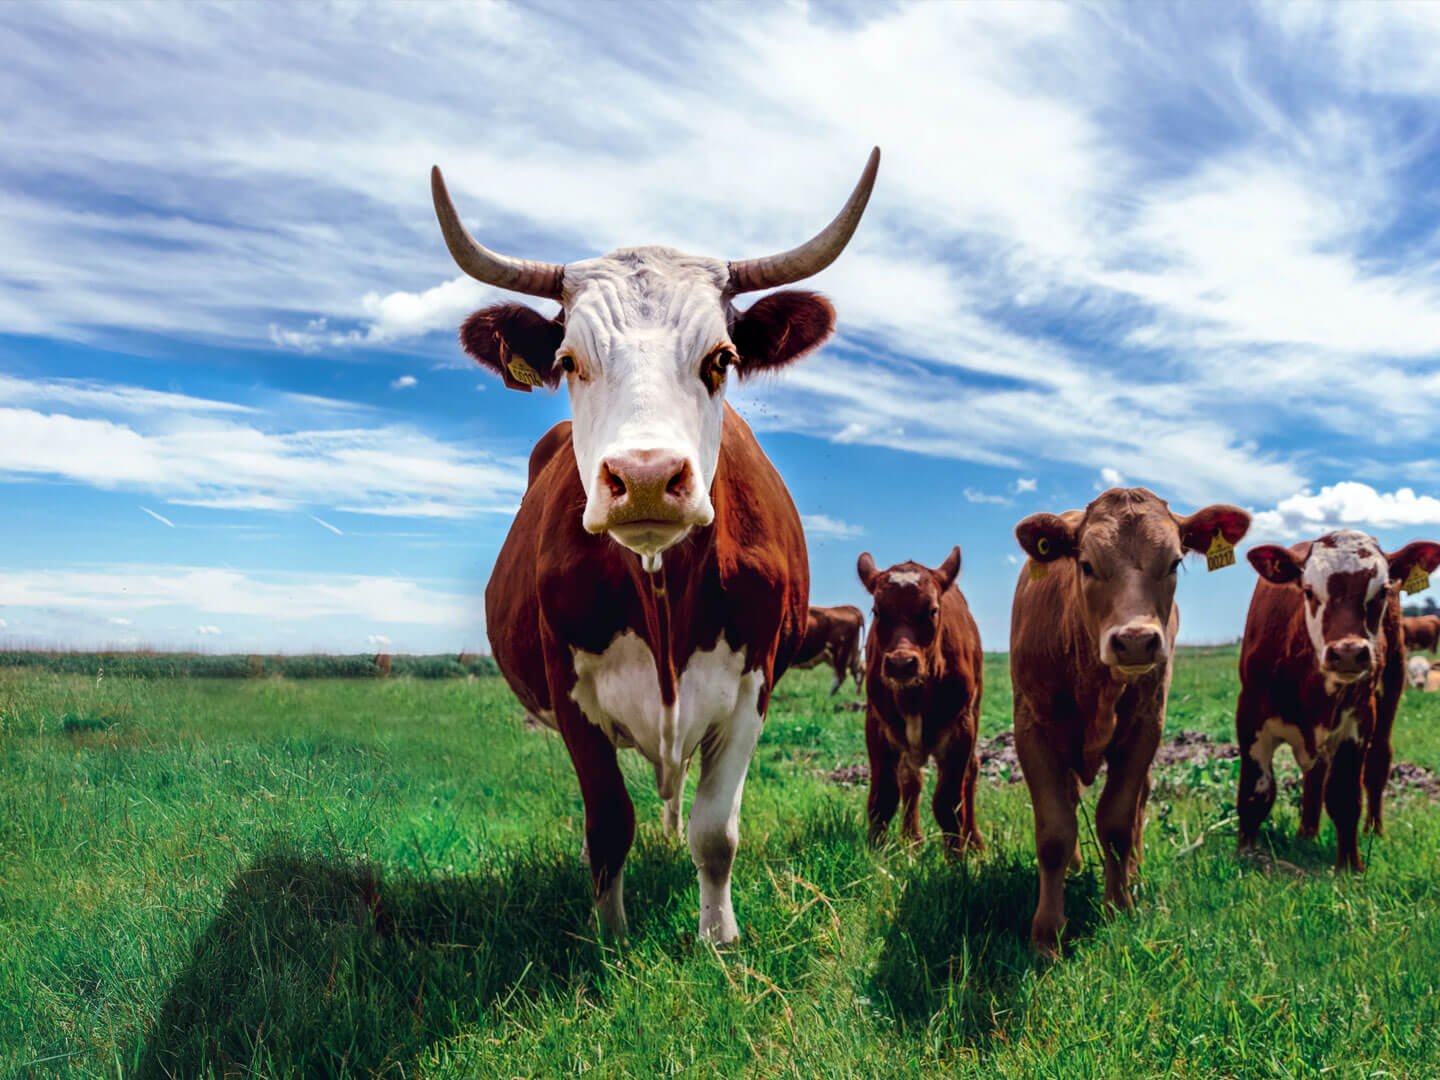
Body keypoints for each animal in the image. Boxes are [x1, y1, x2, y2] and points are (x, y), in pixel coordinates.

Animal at [433, 150, 880, 942]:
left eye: (722, 358)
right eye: (570, 361)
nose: (643, 478)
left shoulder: (753, 686)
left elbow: (716, 830)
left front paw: (718, 936)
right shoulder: (569, 691)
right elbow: (609, 823)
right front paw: (610, 936)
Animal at [856, 547, 984, 854]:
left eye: (932, 610)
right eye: (878, 611)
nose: (901, 664)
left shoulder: (961, 728)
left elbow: (949, 804)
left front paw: (956, 859)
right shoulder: (876, 725)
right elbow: (883, 798)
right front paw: (876, 854)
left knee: (971, 773)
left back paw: (975, 842)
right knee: (910, 780)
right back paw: (911, 839)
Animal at [1011, 487, 1251, 955]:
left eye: (1174, 562)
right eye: (1086, 564)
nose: (1137, 641)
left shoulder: (1145, 728)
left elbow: (1118, 821)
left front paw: (1118, 906)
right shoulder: (1031, 728)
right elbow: (1054, 831)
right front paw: (1047, 933)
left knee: (1139, 803)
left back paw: (1134, 873)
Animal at [1237, 531, 1440, 869]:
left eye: (1382, 591)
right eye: (1308, 591)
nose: (1347, 652)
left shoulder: (1357, 722)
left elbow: (1344, 797)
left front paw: (1350, 867)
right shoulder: (1250, 715)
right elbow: (1256, 793)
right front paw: (1247, 854)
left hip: (1392, 686)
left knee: (1377, 762)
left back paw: (1374, 830)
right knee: (1314, 775)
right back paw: (1306, 832)